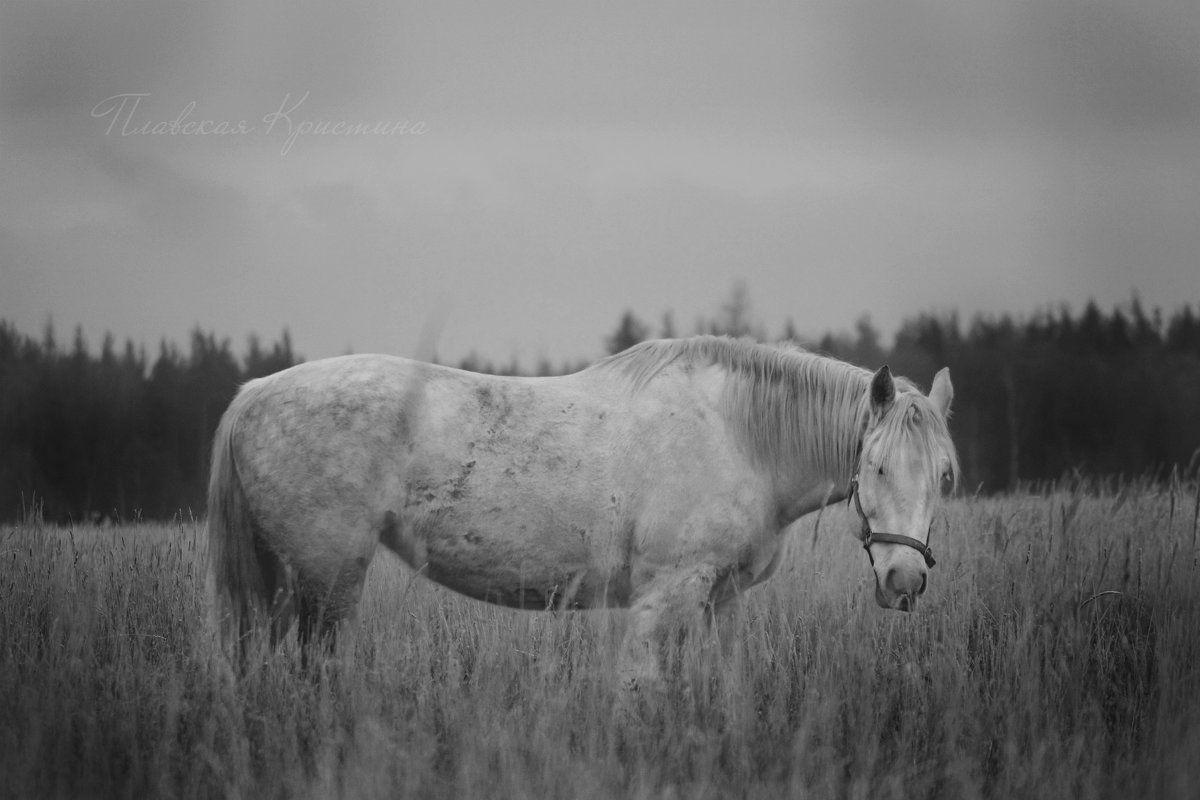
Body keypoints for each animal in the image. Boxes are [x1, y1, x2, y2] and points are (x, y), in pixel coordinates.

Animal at [206, 335, 955, 690]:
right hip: (328, 579)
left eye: (944, 477)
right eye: (876, 466)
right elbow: (641, 688)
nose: (905, 582)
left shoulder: (723, 597)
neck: (739, 432)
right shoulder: (665, 594)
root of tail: (252, 395)